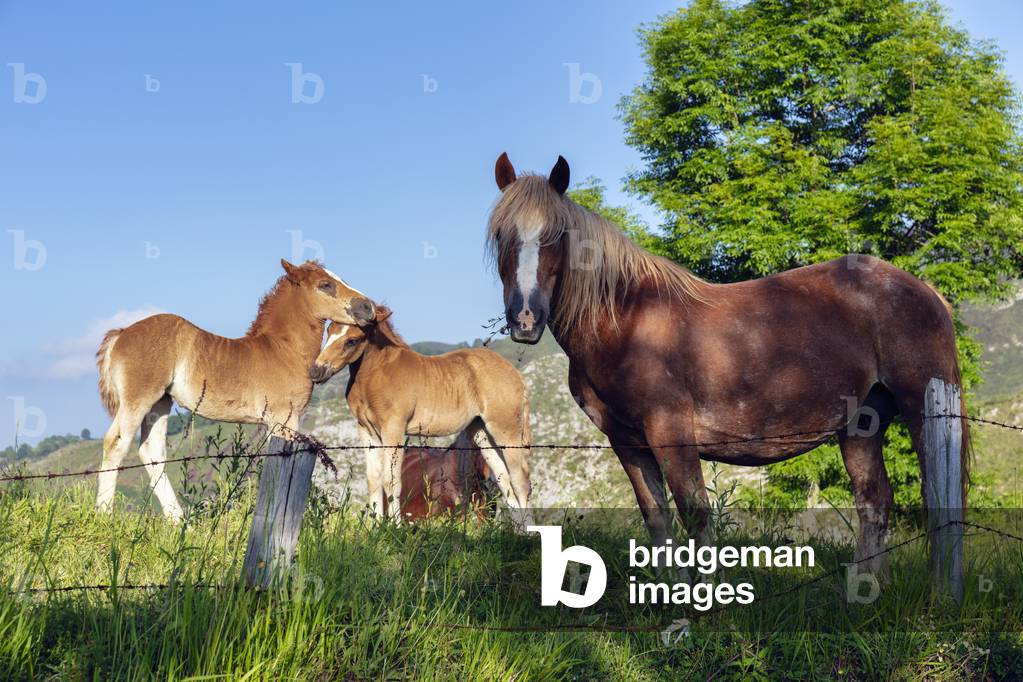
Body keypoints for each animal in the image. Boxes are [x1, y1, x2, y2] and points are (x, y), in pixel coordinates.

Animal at [95, 259, 375, 521]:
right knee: (116, 443)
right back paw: (104, 516)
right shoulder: (284, 419)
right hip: (139, 399)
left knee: (152, 453)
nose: (368, 307)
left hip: (160, 403)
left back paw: (180, 522)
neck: (283, 350)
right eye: (325, 285)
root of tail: (121, 333)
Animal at [308, 308, 532, 520]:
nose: (316, 372)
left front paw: (392, 527)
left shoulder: (394, 429)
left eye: (352, 340)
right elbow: (374, 481)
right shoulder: (367, 431)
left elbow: (391, 481)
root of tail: (515, 373)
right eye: (329, 330)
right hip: (482, 432)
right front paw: (374, 527)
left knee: (520, 480)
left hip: (506, 429)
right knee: (504, 479)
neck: (377, 374)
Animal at [487, 153, 970, 575]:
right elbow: (657, 519)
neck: (626, 320)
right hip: (860, 426)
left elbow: (696, 515)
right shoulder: (628, 441)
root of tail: (926, 291)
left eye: (556, 236)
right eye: (501, 236)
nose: (525, 318)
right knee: (874, 502)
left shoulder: (671, 432)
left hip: (924, 412)